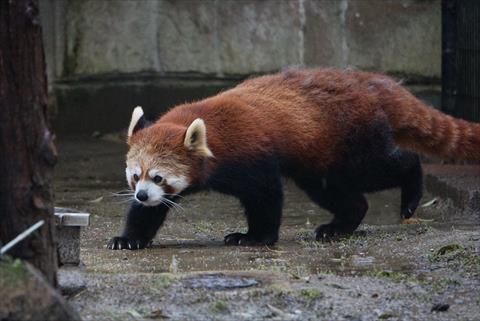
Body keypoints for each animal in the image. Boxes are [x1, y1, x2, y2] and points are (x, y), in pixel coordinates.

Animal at [108, 67, 480, 248]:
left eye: (159, 176)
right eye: (135, 176)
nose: (142, 194)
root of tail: (371, 82)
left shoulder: (253, 157)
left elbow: (265, 196)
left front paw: (254, 237)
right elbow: (148, 214)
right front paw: (129, 239)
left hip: (354, 146)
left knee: (388, 167)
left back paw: (411, 192)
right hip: (320, 162)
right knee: (338, 192)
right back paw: (338, 227)